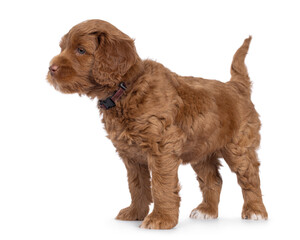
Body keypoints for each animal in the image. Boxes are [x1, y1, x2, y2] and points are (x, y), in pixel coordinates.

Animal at [47, 18, 268, 229]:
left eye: (80, 50)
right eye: (62, 48)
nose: (51, 68)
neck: (126, 88)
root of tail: (236, 86)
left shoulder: (162, 148)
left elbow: (162, 187)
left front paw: (161, 220)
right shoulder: (131, 155)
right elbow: (136, 186)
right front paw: (135, 213)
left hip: (238, 146)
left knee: (250, 177)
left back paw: (256, 211)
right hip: (201, 150)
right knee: (213, 179)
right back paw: (207, 211)